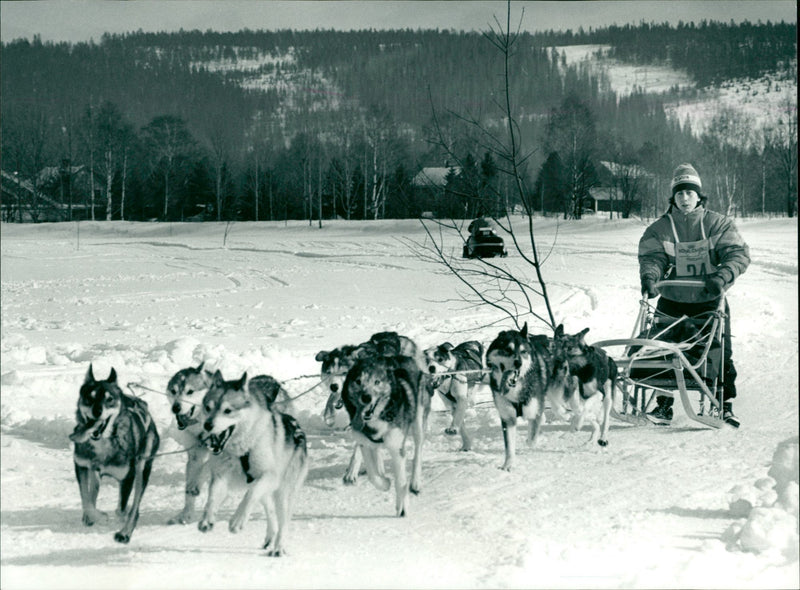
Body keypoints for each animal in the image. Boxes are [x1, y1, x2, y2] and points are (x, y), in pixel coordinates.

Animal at [71, 366, 160, 544]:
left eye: (109, 399)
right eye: (89, 398)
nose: (97, 411)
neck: (102, 443)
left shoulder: (128, 477)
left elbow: (122, 510)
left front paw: (120, 521)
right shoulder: (81, 466)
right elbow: (86, 500)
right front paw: (96, 516)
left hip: (142, 468)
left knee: (135, 505)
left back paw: (125, 532)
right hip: (95, 472)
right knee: (93, 491)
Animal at [198, 372, 308, 556]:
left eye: (228, 410)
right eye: (208, 407)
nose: (207, 425)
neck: (241, 450)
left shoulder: (269, 476)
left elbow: (250, 495)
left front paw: (237, 520)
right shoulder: (220, 476)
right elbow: (212, 497)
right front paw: (207, 519)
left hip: (283, 492)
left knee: (283, 521)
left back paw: (279, 547)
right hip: (268, 494)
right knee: (270, 511)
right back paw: (270, 537)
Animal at [342, 356, 432, 520]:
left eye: (377, 382)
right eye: (358, 381)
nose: (366, 397)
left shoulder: (397, 449)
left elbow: (401, 481)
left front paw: (403, 508)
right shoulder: (365, 444)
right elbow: (373, 475)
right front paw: (385, 483)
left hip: (418, 422)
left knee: (418, 452)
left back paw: (415, 482)